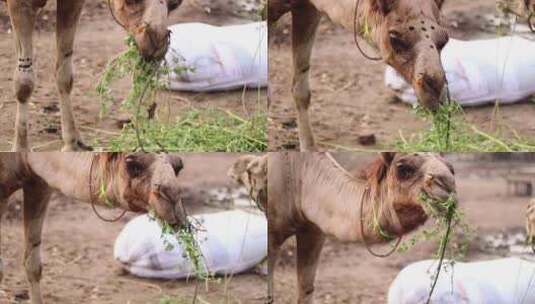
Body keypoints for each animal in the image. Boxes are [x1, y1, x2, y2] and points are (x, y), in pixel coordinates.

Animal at [5, 0, 183, 151]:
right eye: (130, 1)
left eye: (175, 3)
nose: (157, 42)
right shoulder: (19, 3)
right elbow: (24, 82)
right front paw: (20, 148)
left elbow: (64, 75)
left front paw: (72, 143)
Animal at [268, 152, 456, 304]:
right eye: (403, 169)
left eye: (451, 168)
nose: (447, 185)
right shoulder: (272, 231)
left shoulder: (313, 231)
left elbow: (306, 288)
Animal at [270, 0, 450, 151]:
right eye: (394, 37)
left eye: (444, 40)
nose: (435, 84)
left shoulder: (306, 7)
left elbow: (301, 90)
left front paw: (309, 149)